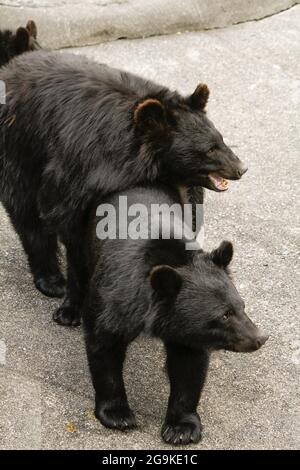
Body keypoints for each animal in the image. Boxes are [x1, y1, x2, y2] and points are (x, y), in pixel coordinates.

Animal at [0, 49, 247, 324]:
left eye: (221, 139)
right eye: (209, 149)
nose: (241, 168)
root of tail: (13, 64)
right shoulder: (76, 171)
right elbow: (73, 236)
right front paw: (70, 309)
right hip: (20, 150)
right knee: (27, 215)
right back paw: (51, 281)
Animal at [82, 184, 270, 444]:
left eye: (242, 306)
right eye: (224, 315)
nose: (260, 338)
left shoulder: (188, 332)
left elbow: (188, 367)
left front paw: (182, 428)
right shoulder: (115, 297)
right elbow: (104, 344)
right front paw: (117, 414)